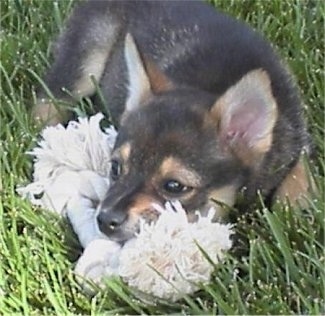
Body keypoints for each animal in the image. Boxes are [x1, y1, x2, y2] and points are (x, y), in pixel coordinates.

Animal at [33, 0, 312, 243]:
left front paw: (297, 211)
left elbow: (300, 174)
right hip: (84, 62)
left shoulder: (299, 142)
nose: (104, 220)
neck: (210, 86)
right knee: (46, 102)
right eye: (115, 167)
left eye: (174, 186)